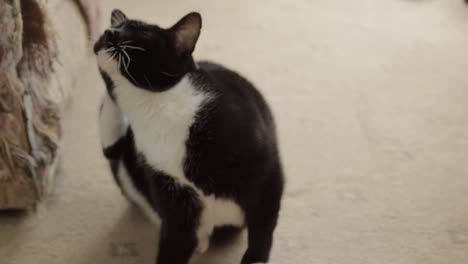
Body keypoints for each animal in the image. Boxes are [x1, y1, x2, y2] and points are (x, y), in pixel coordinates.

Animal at [93, 9, 284, 262]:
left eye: (136, 30)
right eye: (115, 27)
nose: (108, 32)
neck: (153, 109)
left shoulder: (265, 171)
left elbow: (262, 227)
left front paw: (255, 258)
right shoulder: (174, 204)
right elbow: (173, 243)